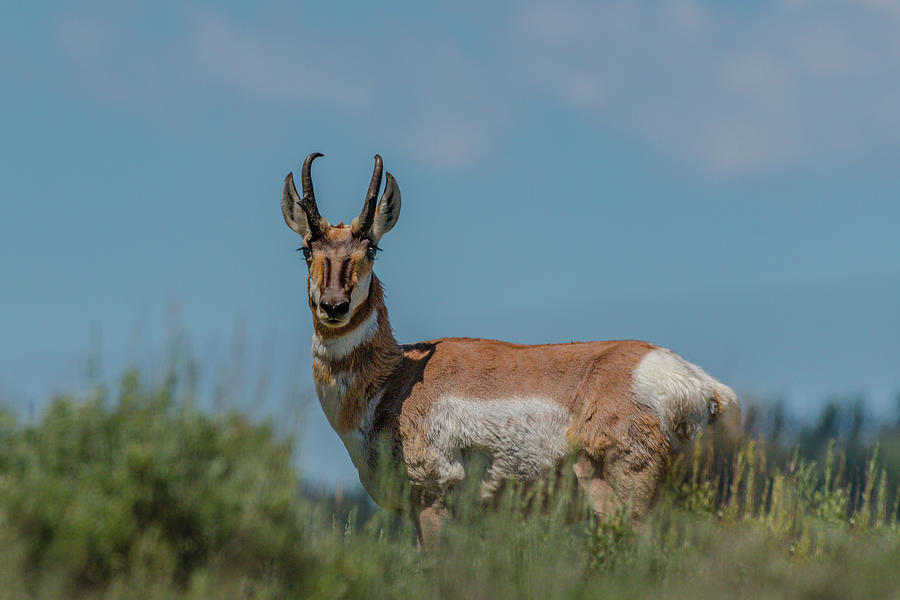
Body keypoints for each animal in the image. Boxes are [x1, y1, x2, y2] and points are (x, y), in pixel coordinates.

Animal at [282, 151, 740, 544]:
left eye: (372, 247)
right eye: (306, 248)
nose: (334, 306)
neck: (397, 378)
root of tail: (700, 386)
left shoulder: (434, 502)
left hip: (624, 503)